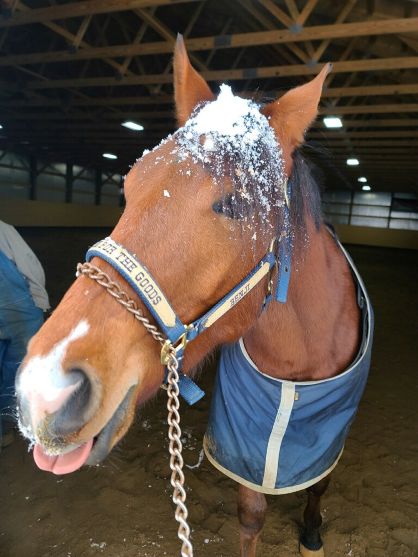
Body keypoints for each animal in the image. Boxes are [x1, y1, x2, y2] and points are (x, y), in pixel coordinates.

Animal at [13, 35, 372, 556]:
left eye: (237, 204)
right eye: (128, 184)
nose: (45, 390)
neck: (297, 368)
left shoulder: (330, 432)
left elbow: (320, 483)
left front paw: (311, 534)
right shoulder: (246, 444)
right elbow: (252, 514)